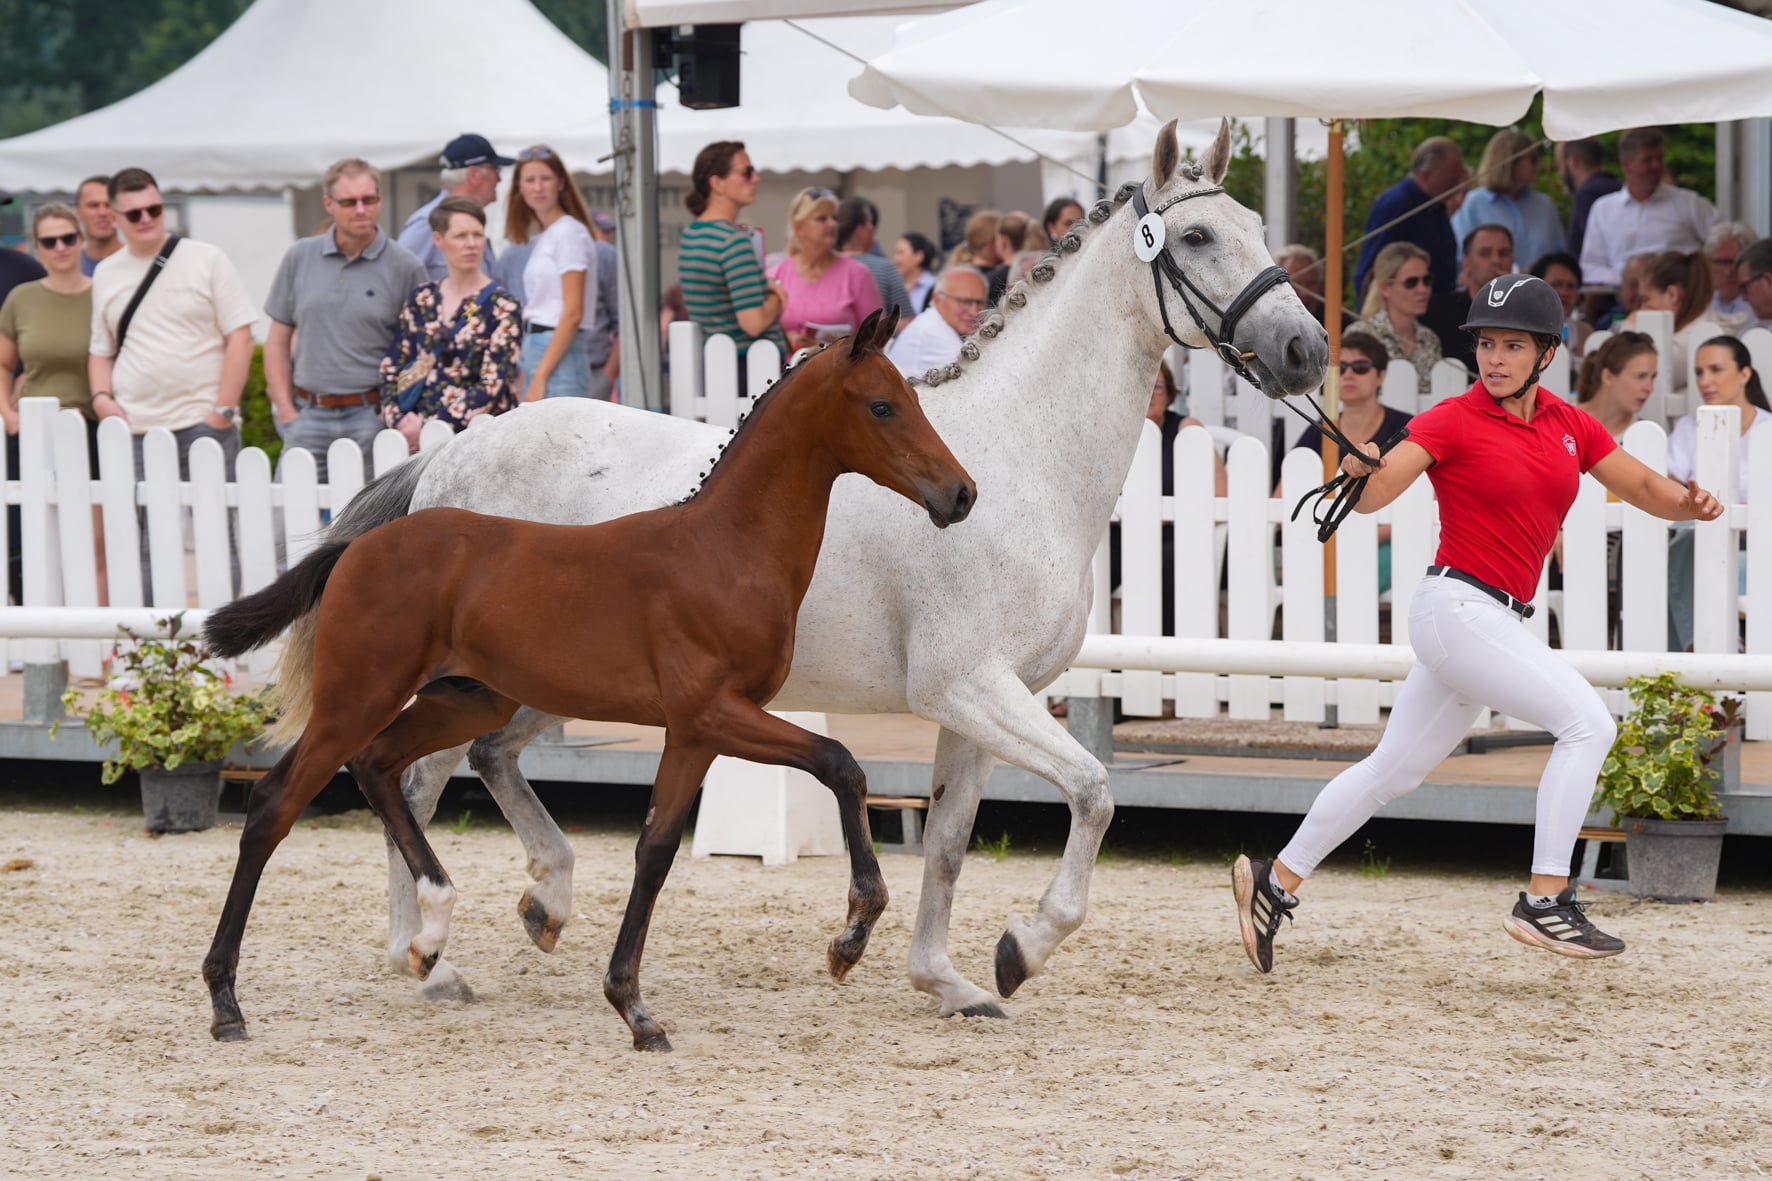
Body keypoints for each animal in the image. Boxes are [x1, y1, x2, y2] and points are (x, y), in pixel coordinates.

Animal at [203, 305, 985, 1049]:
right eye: (882, 406)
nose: (961, 494)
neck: (727, 549)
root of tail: (356, 547)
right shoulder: (712, 713)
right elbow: (841, 762)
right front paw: (850, 936)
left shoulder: (695, 732)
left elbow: (656, 848)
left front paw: (634, 1010)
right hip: (358, 695)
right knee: (276, 804)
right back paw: (227, 1000)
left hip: (466, 701)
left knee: (380, 768)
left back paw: (431, 932)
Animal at [356, 124, 1332, 1014]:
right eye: (1197, 236)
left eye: (1254, 222)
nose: (1306, 350)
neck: (1018, 456)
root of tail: (453, 456)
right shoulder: (968, 685)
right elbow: (1093, 793)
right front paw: (1021, 947)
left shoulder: (984, 702)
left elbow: (948, 841)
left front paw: (947, 980)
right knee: (413, 779)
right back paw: (426, 955)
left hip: (541, 683)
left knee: (475, 760)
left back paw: (536, 904)